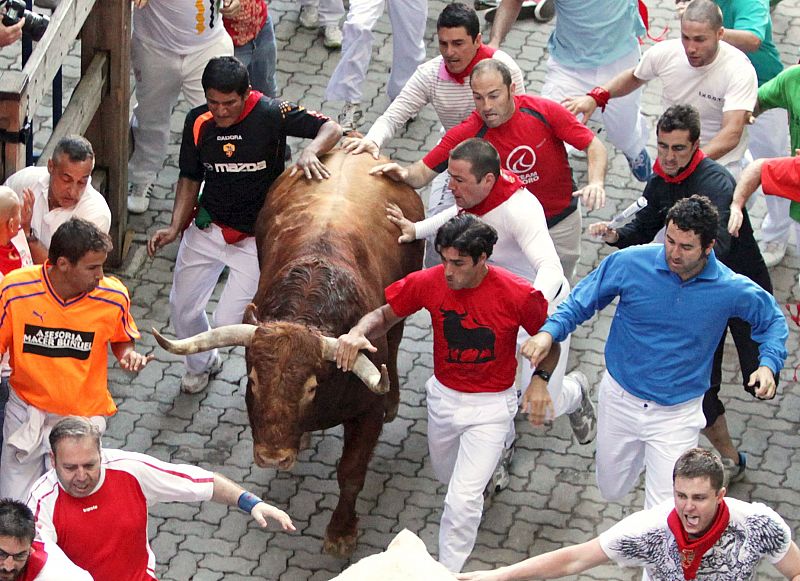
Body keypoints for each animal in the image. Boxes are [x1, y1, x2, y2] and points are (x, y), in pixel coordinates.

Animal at [152, 150, 424, 556]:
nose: (272, 457)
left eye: (311, 387)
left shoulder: (367, 412)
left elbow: (352, 472)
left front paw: (341, 532)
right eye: (252, 380)